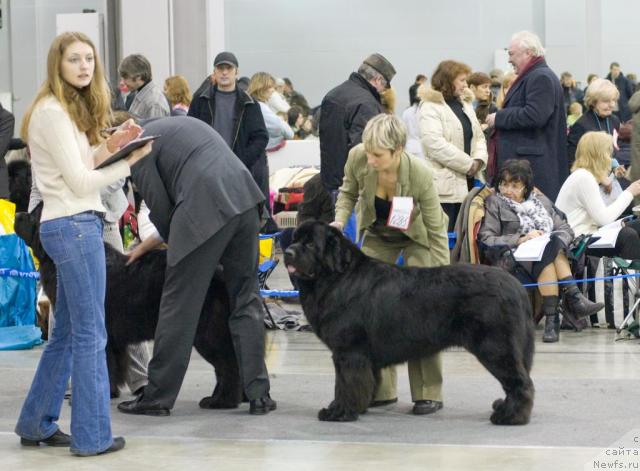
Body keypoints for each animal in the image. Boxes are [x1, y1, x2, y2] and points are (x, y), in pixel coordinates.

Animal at [13, 206, 242, 410]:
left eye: (34, 215)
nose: (17, 213)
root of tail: (221, 271)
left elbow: (104, 363)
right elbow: (113, 365)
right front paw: (110, 391)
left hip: (207, 331)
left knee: (228, 364)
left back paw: (222, 401)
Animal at [284, 223, 536, 426]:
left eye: (310, 244)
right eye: (294, 239)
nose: (287, 252)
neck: (337, 276)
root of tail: (516, 286)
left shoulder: (348, 352)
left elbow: (345, 384)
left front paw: (338, 412)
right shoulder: (362, 356)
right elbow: (364, 382)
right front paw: (358, 407)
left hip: (495, 346)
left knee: (520, 383)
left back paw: (509, 417)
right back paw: (504, 408)